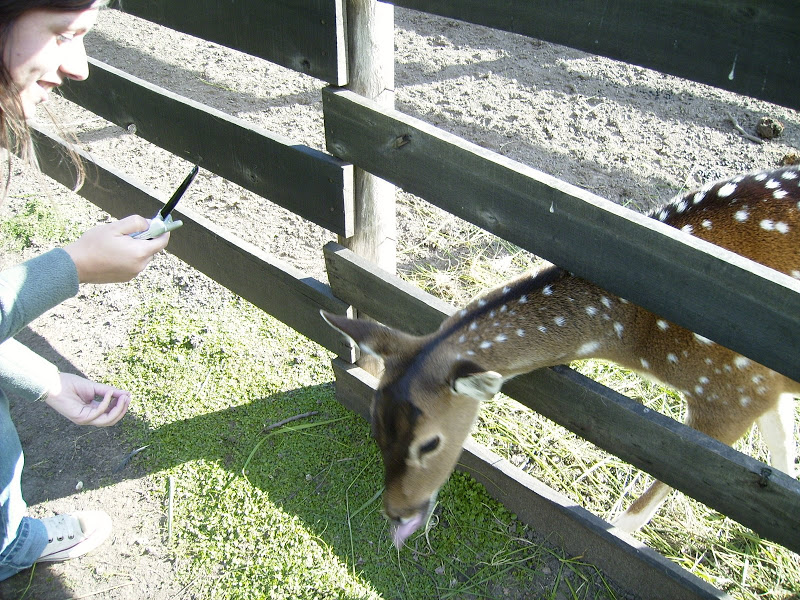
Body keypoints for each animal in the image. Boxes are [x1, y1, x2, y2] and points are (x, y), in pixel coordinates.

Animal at [320, 165, 800, 548]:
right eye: (375, 424)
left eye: (430, 443)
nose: (397, 512)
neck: (642, 335)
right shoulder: (764, 390)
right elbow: (781, 465)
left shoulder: (732, 392)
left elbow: (650, 502)